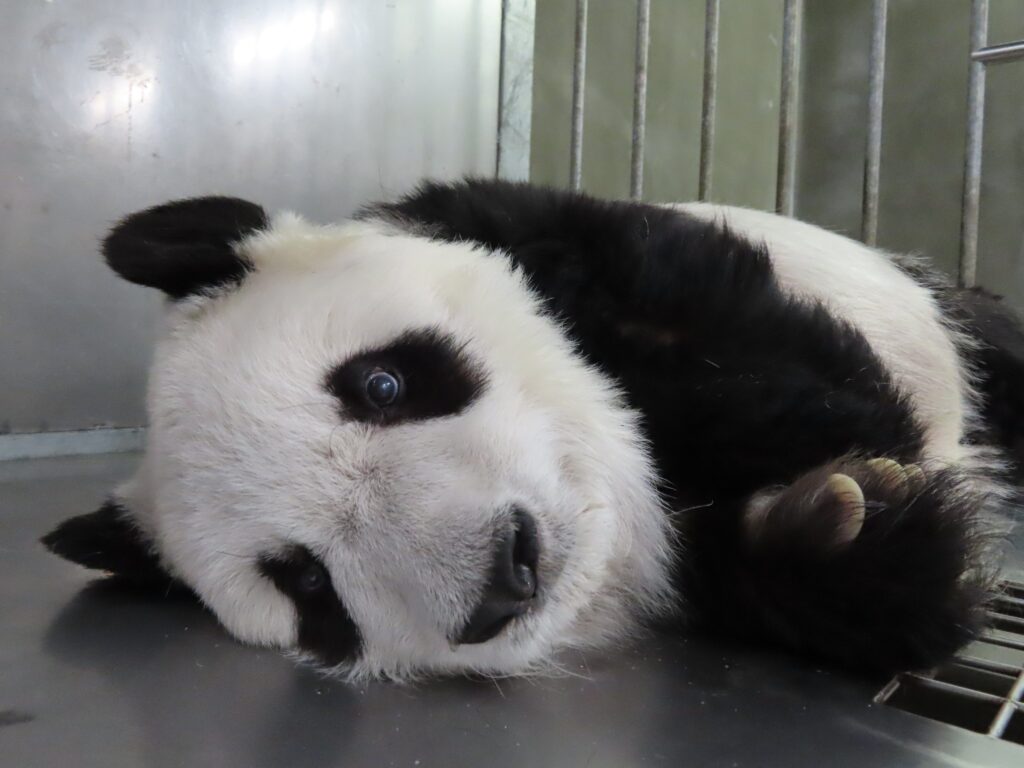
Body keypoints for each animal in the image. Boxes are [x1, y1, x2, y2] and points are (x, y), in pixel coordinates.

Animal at [41, 179, 1024, 679]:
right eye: (308, 583)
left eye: (382, 384)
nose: (505, 577)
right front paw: (834, 529)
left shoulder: (559, 235)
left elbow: (730, 336)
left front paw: (848, 463)